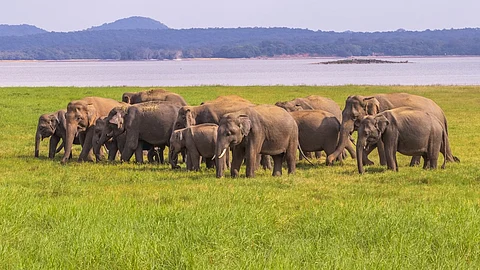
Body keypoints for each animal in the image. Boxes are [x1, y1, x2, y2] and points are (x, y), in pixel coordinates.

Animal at [326, 93, 458, 166]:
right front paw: (369, 163)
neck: (367, 98)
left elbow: (379, 143)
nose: (330, 161)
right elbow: (373, 142)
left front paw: (382, 165)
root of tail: (441, 111)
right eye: (342, 113)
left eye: (354, 116)